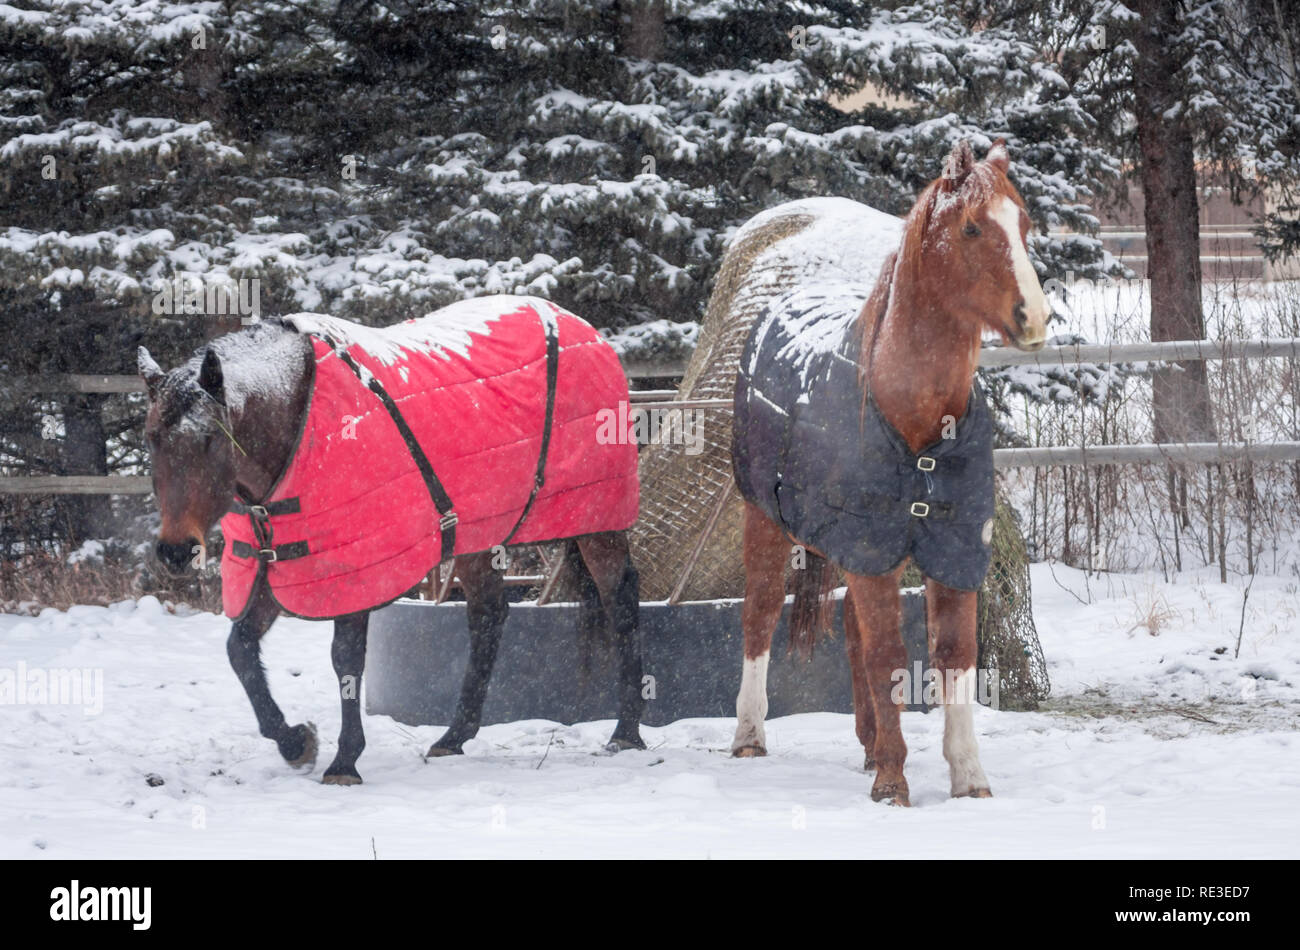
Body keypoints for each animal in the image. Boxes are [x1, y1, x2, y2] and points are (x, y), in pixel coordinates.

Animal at [138, 295, 646, 785]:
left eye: (210, 437)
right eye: (152, 437)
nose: (175, 550)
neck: (300, 427)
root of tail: (579, 326)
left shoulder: (356, 571)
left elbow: (345, 661)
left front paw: (344, 761)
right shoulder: (275, 567)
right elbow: (240, 650)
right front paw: (295, 741)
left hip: (598, 521)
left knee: (620, 602)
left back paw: (627, 733)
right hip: (476, 537)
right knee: (488, 617)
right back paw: (454, 737)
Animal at [728, 140, 1049, 805]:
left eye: (1025, 224)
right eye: (971, 227)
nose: (1034, 317)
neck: (917, 427)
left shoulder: (951, 549)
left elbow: (952, 654)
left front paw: (968, 777)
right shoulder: (871, 549)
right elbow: (886, 653)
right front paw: (894, 783)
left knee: (850, 631)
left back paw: (869, 744)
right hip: (765, 521)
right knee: (760, 613)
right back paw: (750, 736)